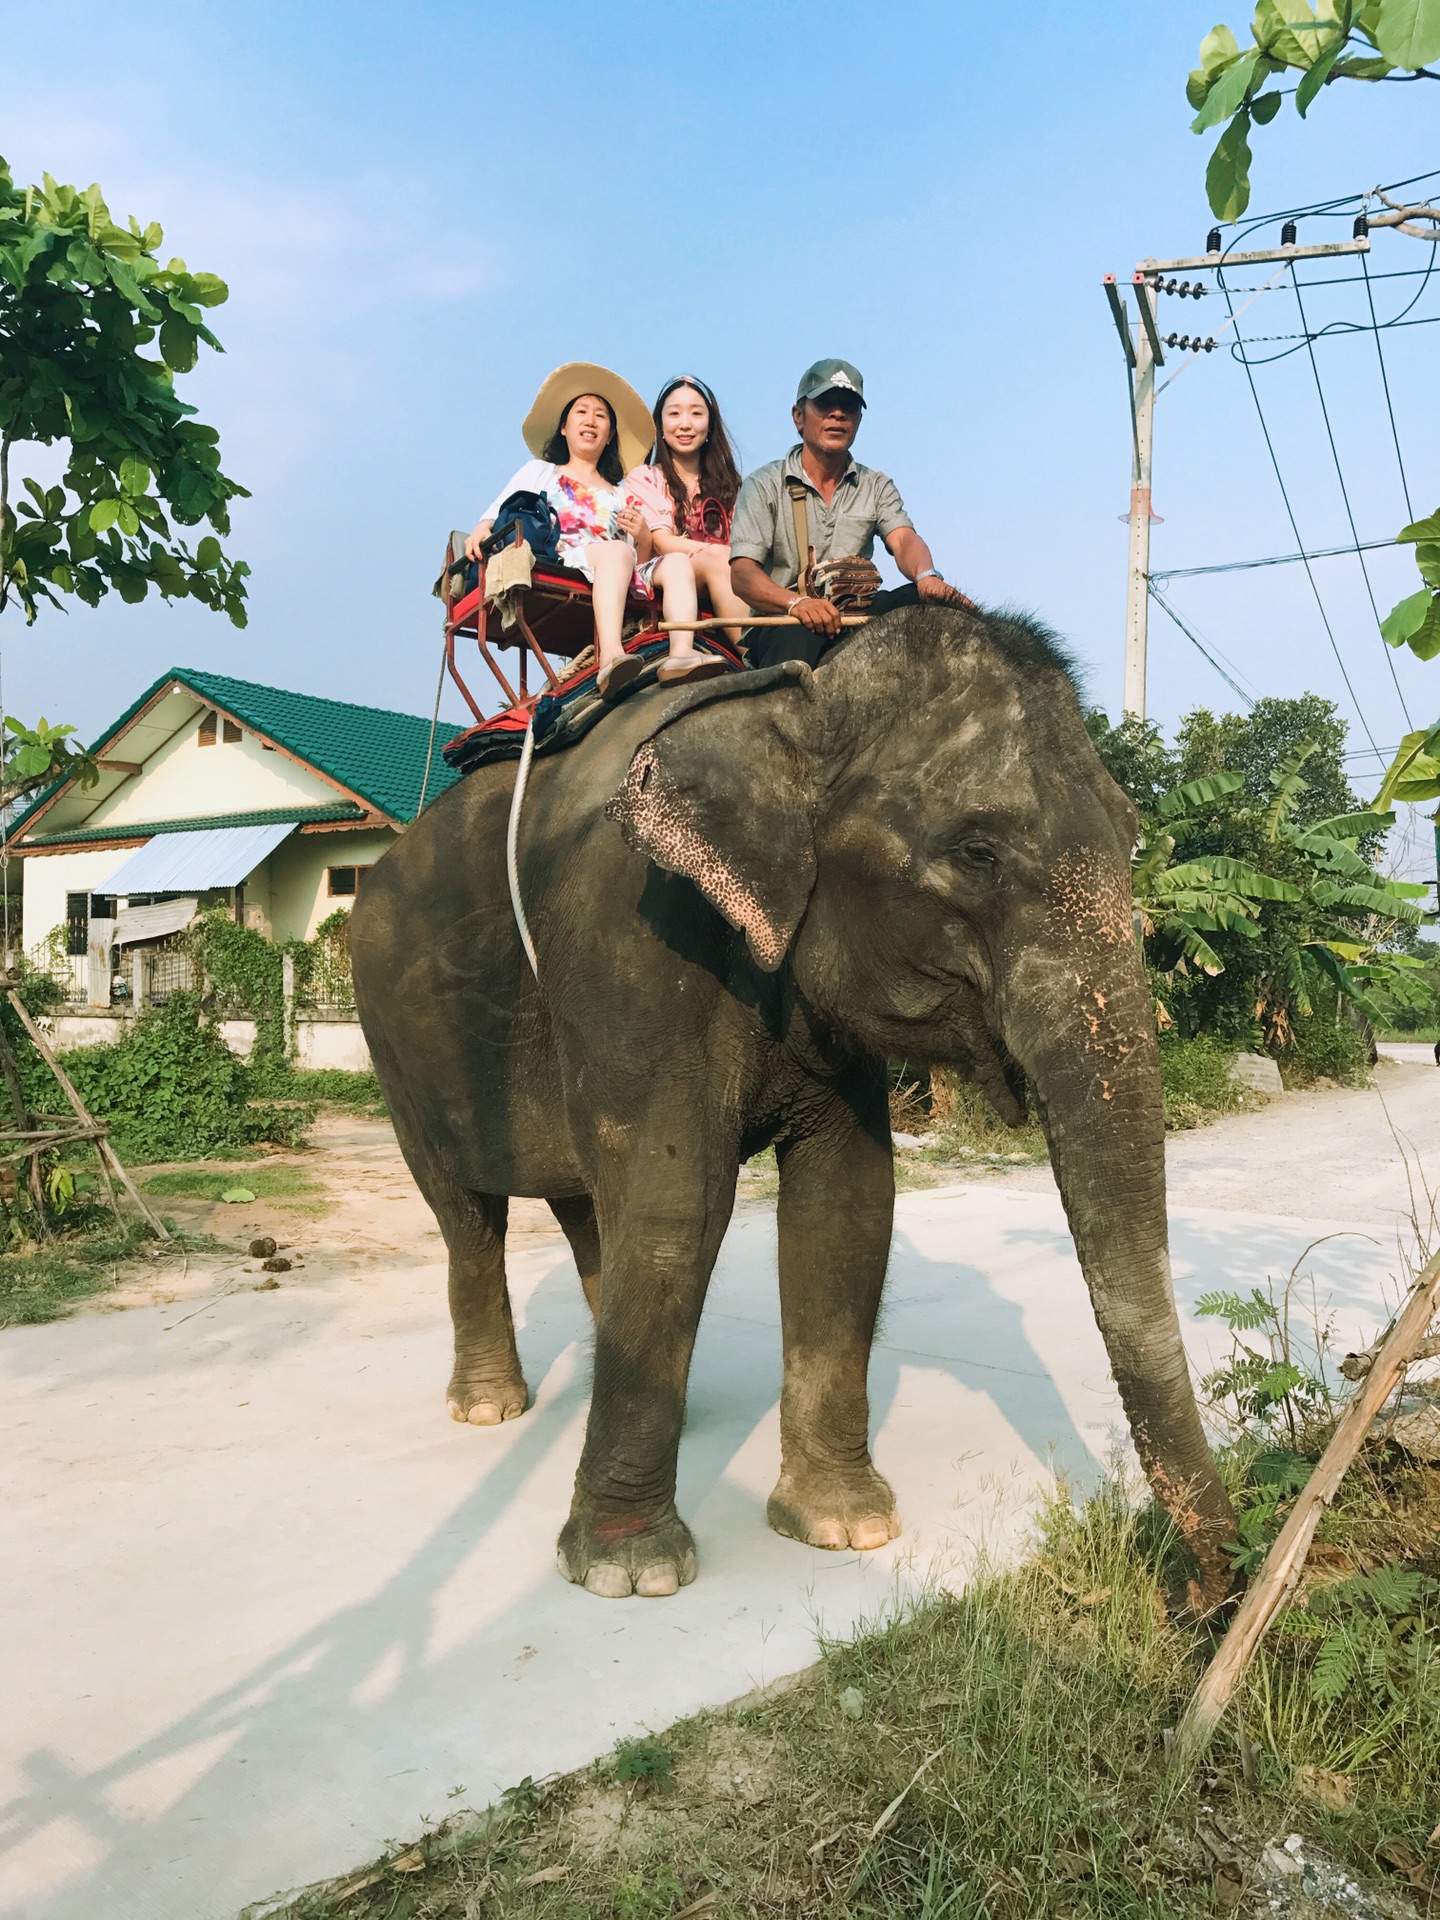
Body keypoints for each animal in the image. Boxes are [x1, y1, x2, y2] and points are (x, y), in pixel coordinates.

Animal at [353, 610, 1244, 1605]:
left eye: (1133, 839)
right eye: (978, 851)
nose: (1205, 1594)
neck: (792, 704)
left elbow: (846, 1201)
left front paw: (844, 1528)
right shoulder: (628, 937)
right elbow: (675, 1202)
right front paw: (631, 1573)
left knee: (586, 1207)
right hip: (390, 1041)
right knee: (466, 1211)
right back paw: (487, 1407)